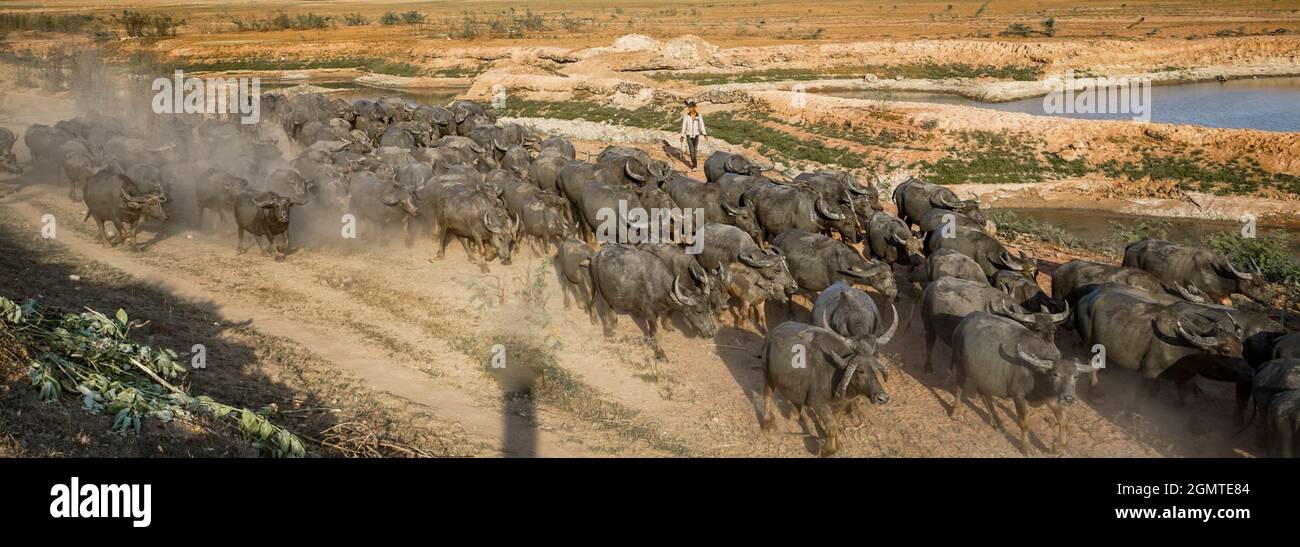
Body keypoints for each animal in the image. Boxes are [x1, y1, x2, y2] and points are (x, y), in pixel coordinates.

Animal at [587, 242, 717, 358]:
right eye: (698, 311)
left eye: (709, 310)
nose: (710, 333)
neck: (659, 285)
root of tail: (596, 255)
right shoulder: (650, 313)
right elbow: (655, 333)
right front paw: (660, 354)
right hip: (598, 286)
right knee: (599, 304)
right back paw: (606, 330)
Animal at [759, 319, 894, 457]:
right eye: (861, 371)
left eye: (876, 371)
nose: (882, 398)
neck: (835, 374)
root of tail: (775, 331)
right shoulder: (817, 403)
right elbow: (832, 427)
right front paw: (826, 450)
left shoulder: (840, 405)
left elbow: (835, 424)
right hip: (768, 374)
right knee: (767, 395)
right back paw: (767, 423)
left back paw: (796, 414)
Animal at [946, 311, 1097, 452]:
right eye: (1055, 374)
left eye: (1075, 376)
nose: (1069, 398)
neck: (1038, 376)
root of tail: (965, 320)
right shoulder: (1018, 397)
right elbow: (1024, 423)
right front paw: (1027, 448)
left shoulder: (1053, 398)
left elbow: (1064, 422)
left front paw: (1059, 448)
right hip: (960, 364)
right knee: (959, 387)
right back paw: (956, 413)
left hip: (982, 376)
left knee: (984, 394)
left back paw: (997, 423)